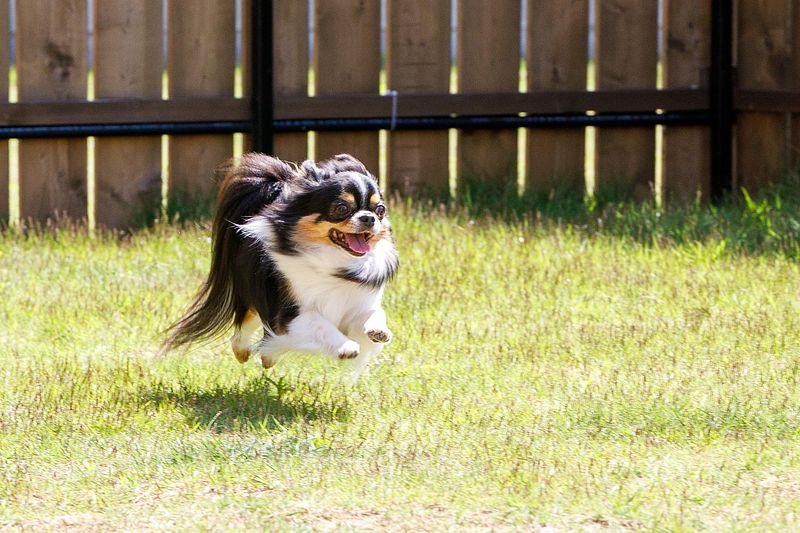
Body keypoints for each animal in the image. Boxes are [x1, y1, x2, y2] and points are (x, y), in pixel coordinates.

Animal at [163, 152, 400, 376]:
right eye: (341, 208)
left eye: (380, 210)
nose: (369, 218)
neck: (335, 259)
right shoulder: (290, 314)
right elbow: (320, 324)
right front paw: (346, 347)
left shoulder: (355, 305)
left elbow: (374, 314)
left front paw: (379, 331)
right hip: (252, 294)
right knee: (244, 325)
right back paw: (243, 351)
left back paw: (268, 356)